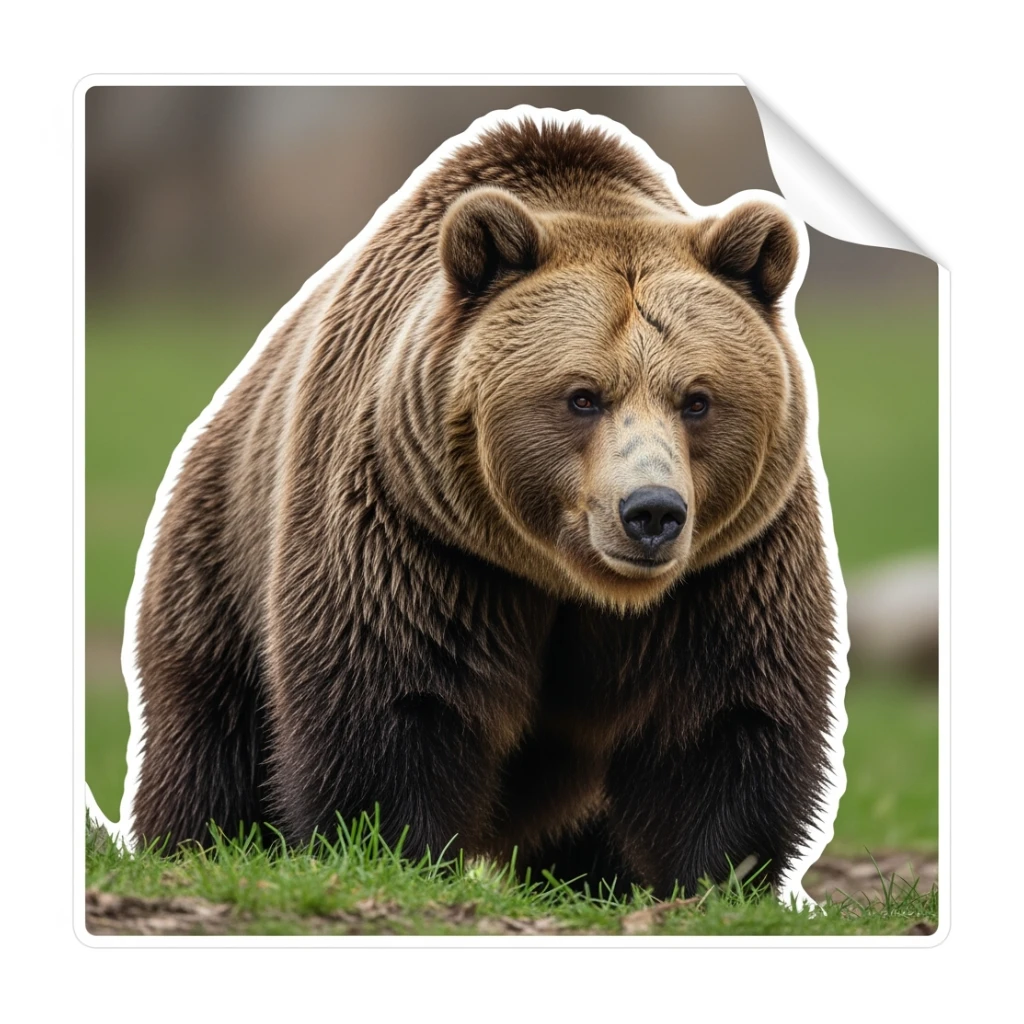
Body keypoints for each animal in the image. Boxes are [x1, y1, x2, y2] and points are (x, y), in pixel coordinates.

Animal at [128, 112, 840, 901]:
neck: (567, 578)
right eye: (582, 395)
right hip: (221, 555)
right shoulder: (418, 534)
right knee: (210, 735)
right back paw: (199, 843)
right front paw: (394, 850)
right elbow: (397, 700)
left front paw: (710, 878)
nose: (651, 512)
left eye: (697, 399)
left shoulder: (730, 564)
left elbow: (722, 717)